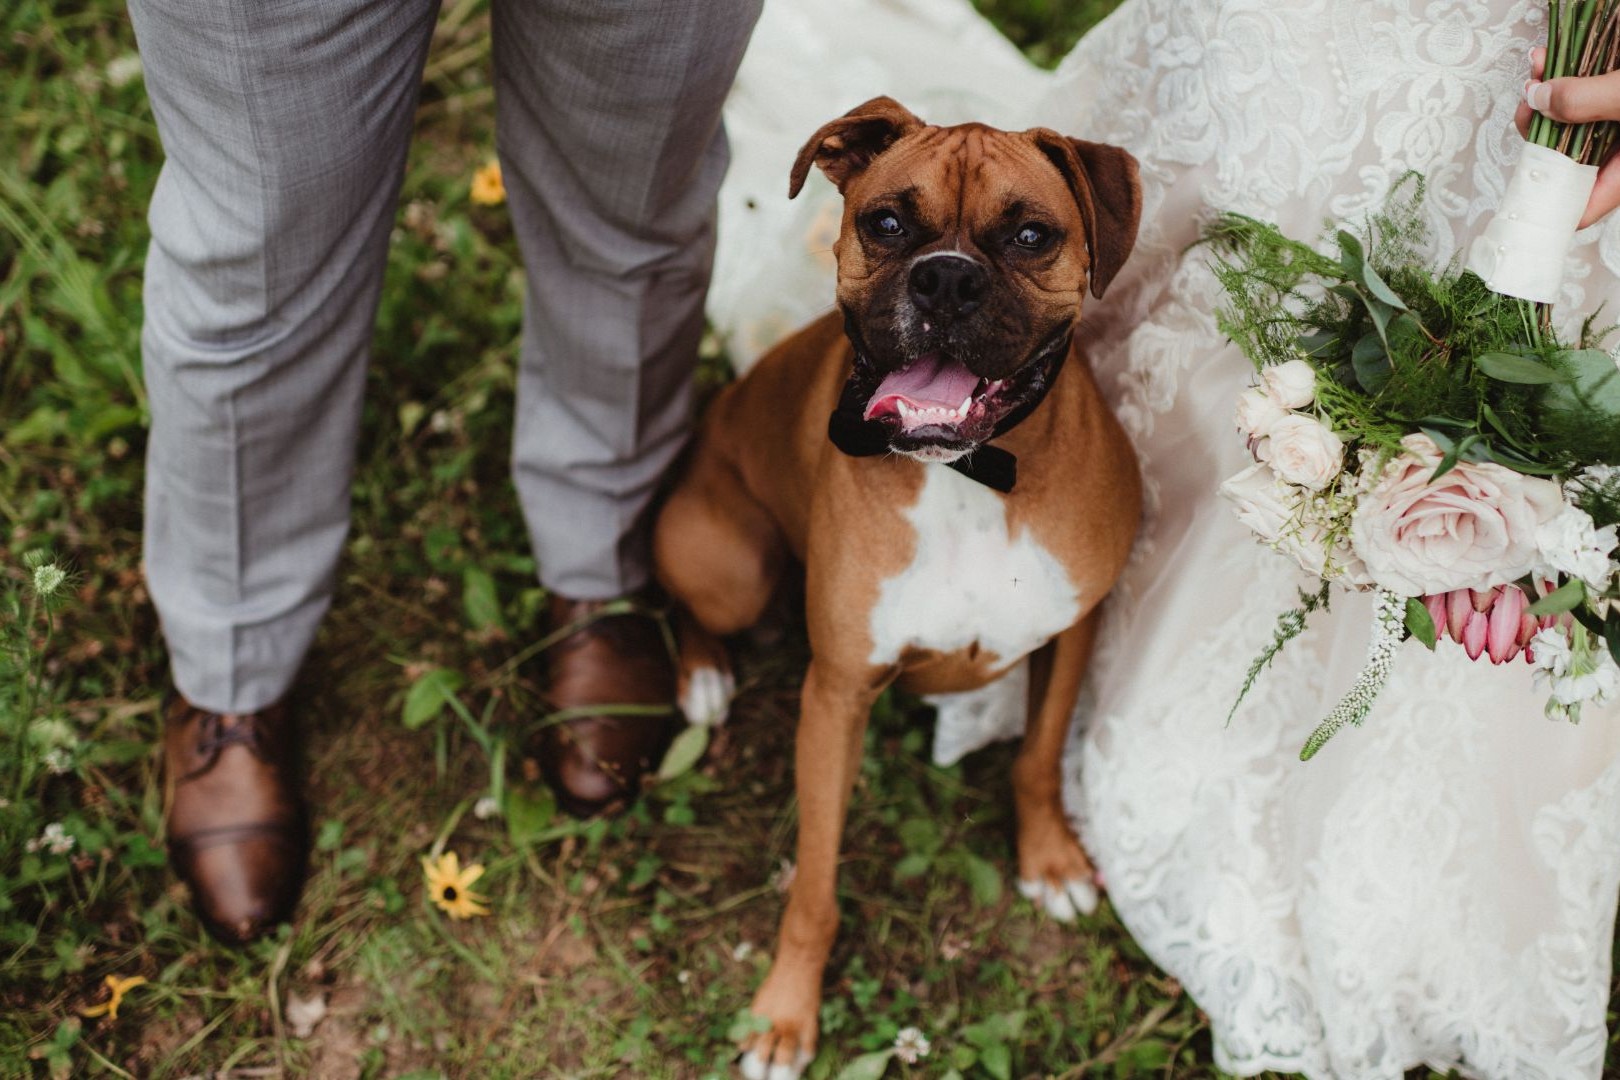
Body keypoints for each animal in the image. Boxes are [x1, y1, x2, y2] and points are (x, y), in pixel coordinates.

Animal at [654, 97, 1140, 1075]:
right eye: (885, 224)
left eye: (1031, 235)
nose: (945, 279)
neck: (969, 480)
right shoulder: (837, 696)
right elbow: (814, 883)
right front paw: (784, 1014)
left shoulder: (1073, 627)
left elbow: (1036, 757)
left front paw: (1051, 861)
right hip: (730, 566)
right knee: (693, 605)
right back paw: (705, 678)